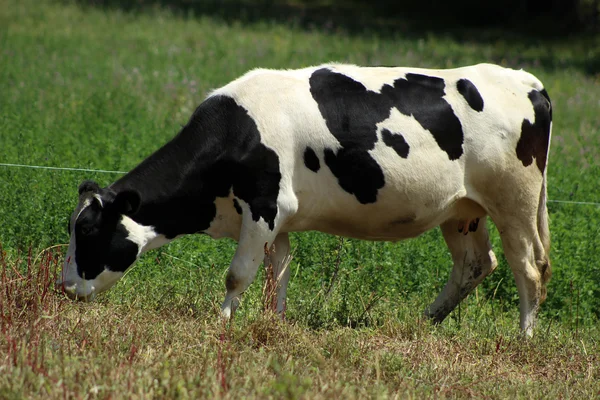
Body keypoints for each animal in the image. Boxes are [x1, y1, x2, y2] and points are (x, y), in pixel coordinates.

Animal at [57, 62, 552, 336]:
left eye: (88, 229)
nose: (64, 288)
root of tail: (525, 80)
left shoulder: (262, 207)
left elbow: (237, 275)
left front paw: (221, 323)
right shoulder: (279, 220)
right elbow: (278, 274)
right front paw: (272, 324)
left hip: (515, 200)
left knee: (529, 268)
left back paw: (523, 339)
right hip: (463, 210)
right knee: (475, 264)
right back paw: (424, 322)